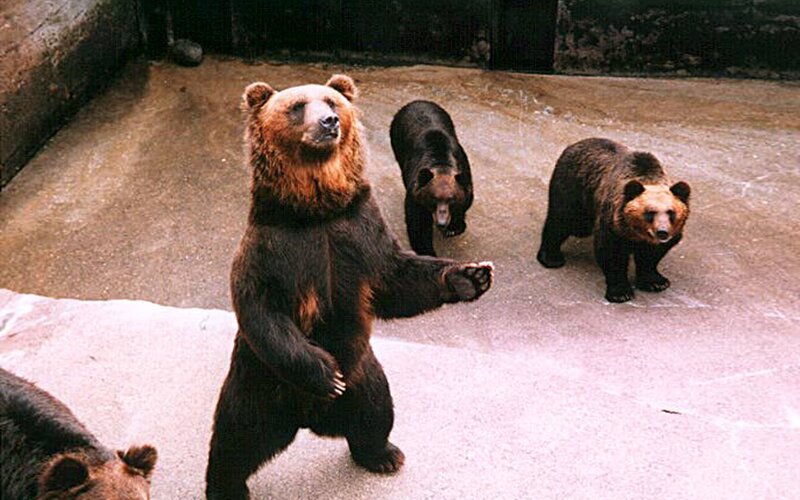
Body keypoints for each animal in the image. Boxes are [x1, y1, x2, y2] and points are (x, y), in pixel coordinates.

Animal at [390, 100, 474, 257]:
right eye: (433, 198)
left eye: (451, 199)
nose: (441, 222)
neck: (442, 164)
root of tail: (416, 101)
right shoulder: (416, 198)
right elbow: (418, 226)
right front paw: (428, 251)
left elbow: (463, 205)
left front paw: (454, 227)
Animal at [536, 138, 690, 303]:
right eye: (650, 213)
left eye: (671, 212)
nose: (662, 232)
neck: (636, 233)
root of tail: (575, 144)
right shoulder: (614, 224)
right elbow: (612, 253)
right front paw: (620, 292)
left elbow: (651, 256)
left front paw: (656, 282)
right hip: (574, 187)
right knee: (562, 220)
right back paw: (551, 257)